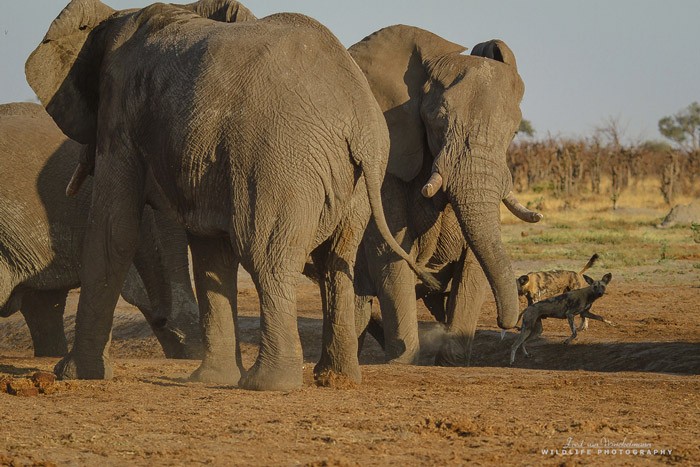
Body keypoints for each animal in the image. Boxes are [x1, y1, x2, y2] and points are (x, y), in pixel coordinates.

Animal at [26, 0, 432, 392]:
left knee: (267, 257)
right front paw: (208, 380)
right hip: (354, 180)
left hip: (278, 163)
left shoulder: (120, 108)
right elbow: (210, 252)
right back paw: (336, 379)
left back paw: (267, 384)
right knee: (336, 262)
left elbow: (114, 229)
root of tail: (360, 120)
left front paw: (72, 373)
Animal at [348, 26, 540, 366]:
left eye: (514, 132)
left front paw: (452, 361)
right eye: (438, 120)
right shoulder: (388, 153)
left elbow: (475, 259)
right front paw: (404, 361)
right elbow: (388, 246)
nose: (509, 323)